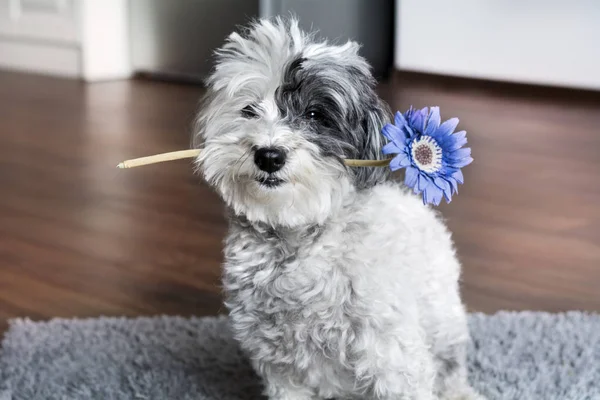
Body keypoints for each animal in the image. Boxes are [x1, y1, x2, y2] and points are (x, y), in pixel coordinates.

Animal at [192, 17, 482, 398]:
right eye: (249, 110)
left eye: (315, 114)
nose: (268, 155)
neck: (299, 237)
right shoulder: (281, 367)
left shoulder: (392, 359)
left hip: (444, 325)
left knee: (452, 372)